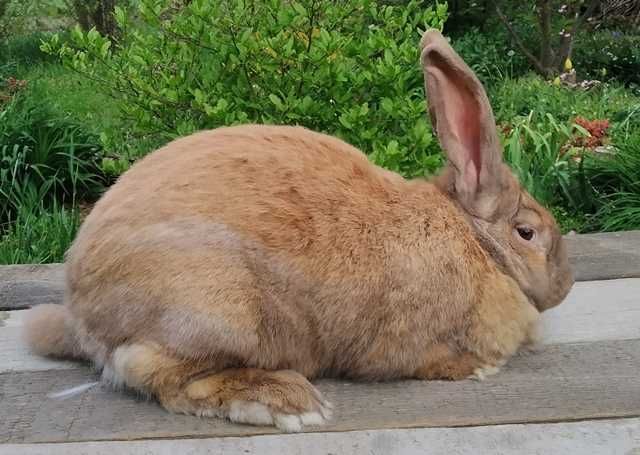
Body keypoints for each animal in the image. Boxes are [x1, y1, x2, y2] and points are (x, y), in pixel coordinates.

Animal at [25, 30, 576, 432]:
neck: (474, 240)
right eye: (528, 233)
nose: (567, 284)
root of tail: (82, 313)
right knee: (153, 373)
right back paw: (286, 401)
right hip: (214, 307)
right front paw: (478, 368)